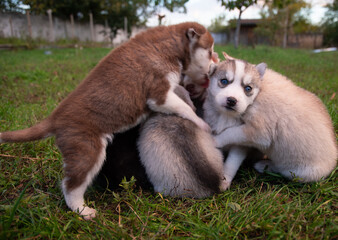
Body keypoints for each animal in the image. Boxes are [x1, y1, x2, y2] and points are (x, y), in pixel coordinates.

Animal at [205, 53, 336, 188]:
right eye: (224, 81)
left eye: (248, 88)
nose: (231, 100)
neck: (259, 92)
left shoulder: (259, 132)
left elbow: (230, 133)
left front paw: (215, 140)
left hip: (300, 173)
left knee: (283, 170)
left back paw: (265, 166)